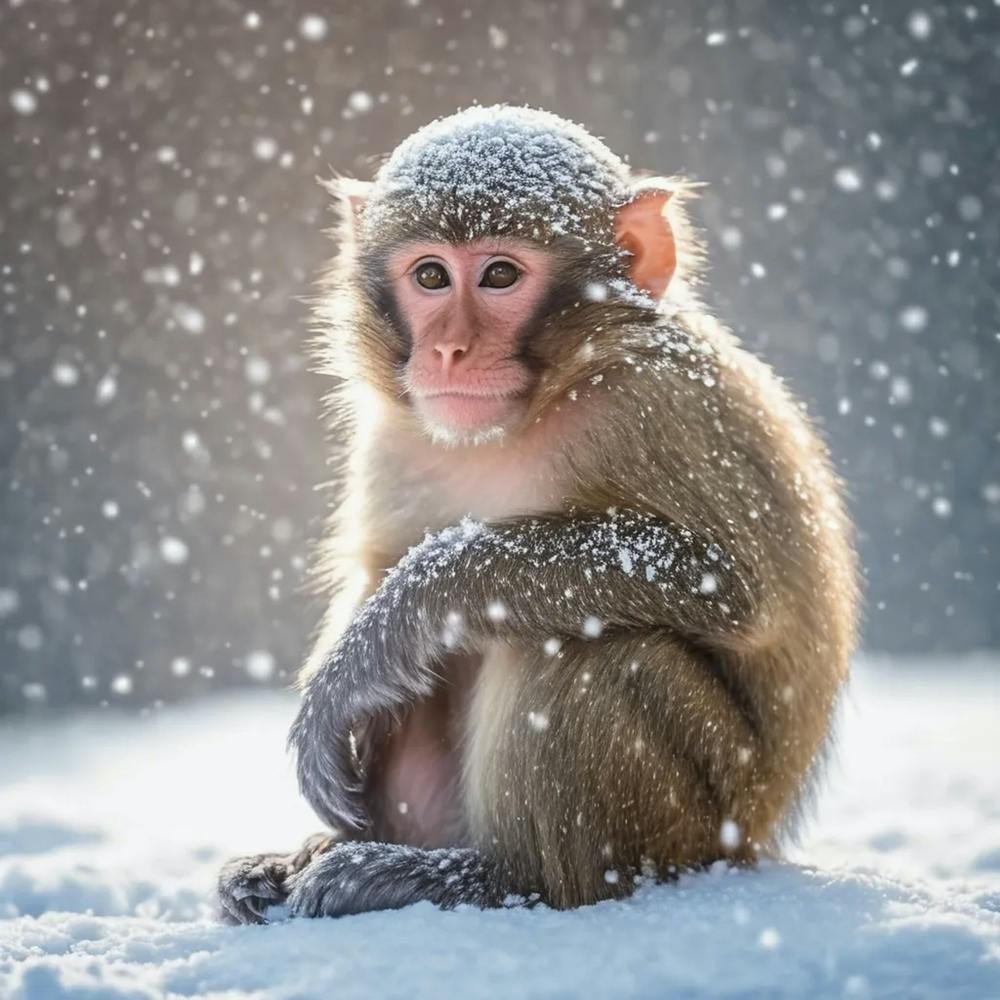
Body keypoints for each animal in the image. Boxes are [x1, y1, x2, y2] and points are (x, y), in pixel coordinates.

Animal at [217, 106, 857, 924]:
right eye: (431, 275)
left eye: (500, 275)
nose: (450, 351)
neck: (531, 412)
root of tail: (754, 836)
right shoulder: (393, 437)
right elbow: (377, 567)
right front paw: (347, 682)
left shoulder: (659, 405)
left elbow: (734, 587)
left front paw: (393, 624)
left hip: (701, 814)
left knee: (585, 649)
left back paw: (487, 879)